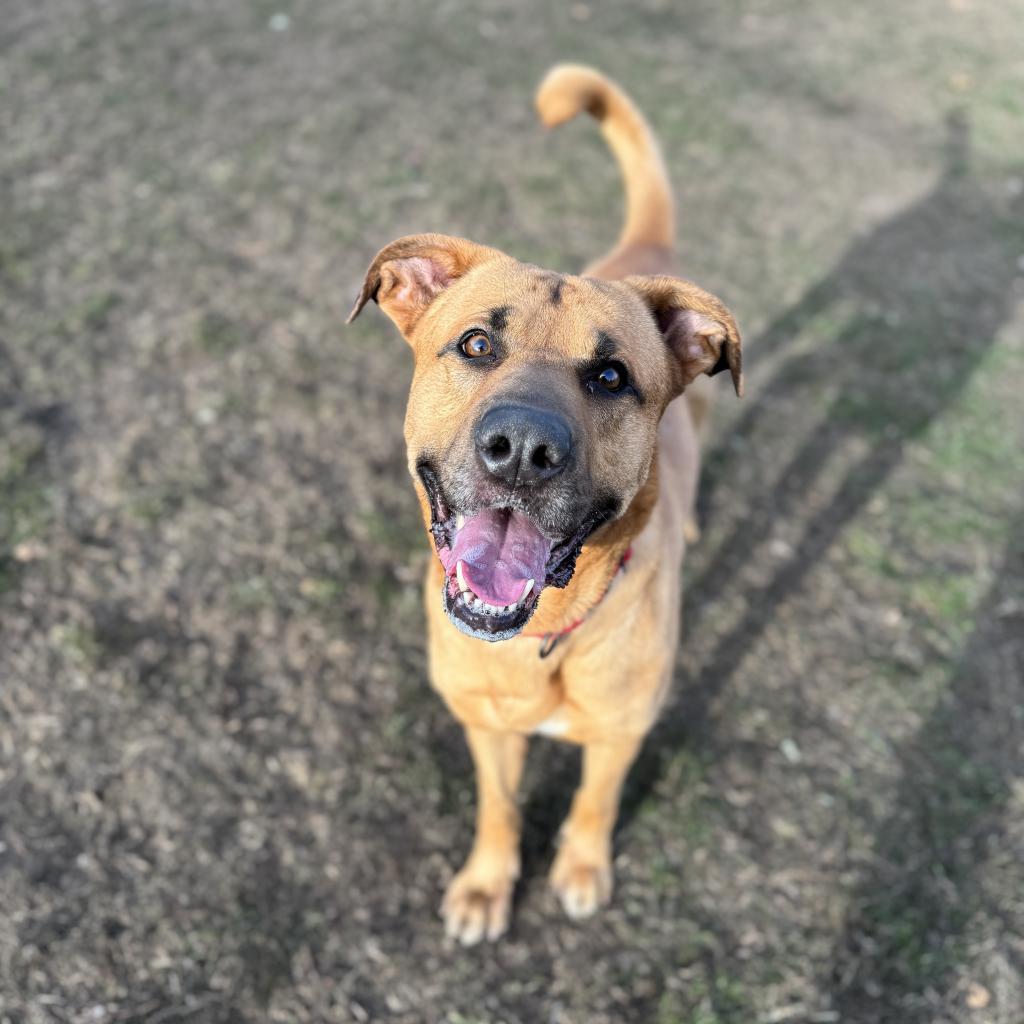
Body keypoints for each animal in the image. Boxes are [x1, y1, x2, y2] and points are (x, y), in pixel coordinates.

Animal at [348, 64, 741, 942]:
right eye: (476, 344)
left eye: (611, 376)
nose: (523, 449)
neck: (546, 637)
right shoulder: (485, 726)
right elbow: (498, 806)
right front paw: (487, 884)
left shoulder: (622, 733)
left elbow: (595, 801)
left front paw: (583, 869)